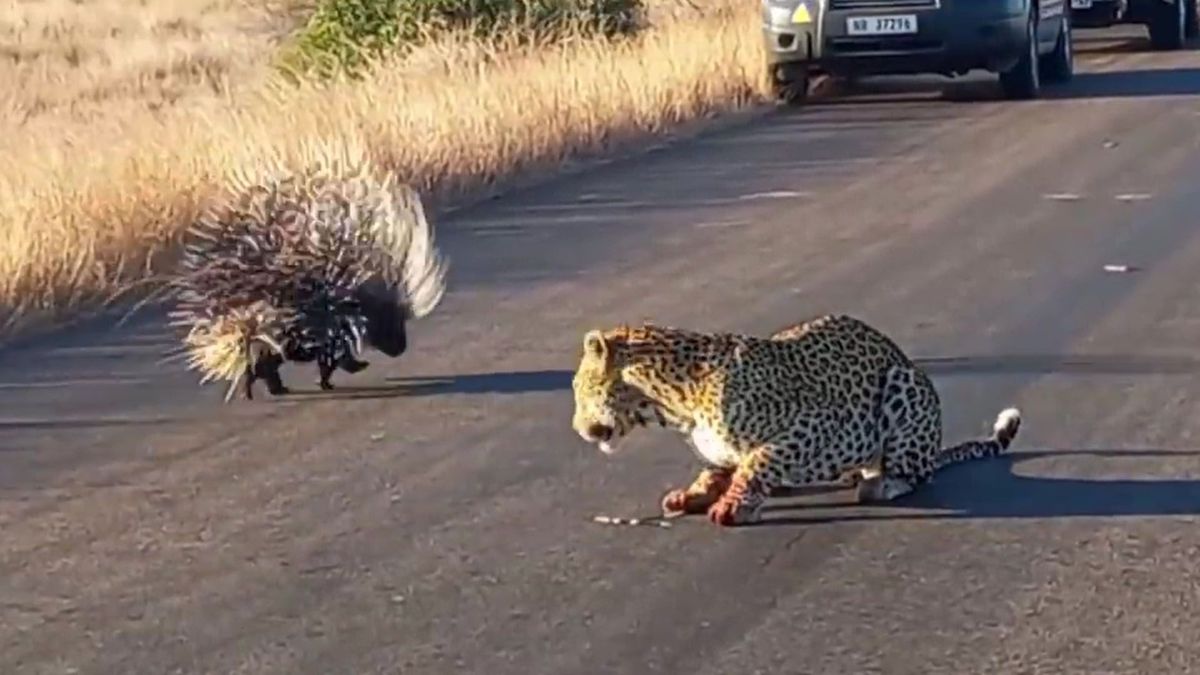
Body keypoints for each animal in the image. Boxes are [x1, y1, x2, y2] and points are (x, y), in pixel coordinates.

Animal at [570, 314, 1022, 527]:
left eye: (579, 388)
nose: (577, 427)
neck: (673, 404)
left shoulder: (816, 425)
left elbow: (759, 461)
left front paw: (733, 504)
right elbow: (718, 466)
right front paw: (697, 493)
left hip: (904, 385)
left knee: (915, 472)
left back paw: (880, 482)